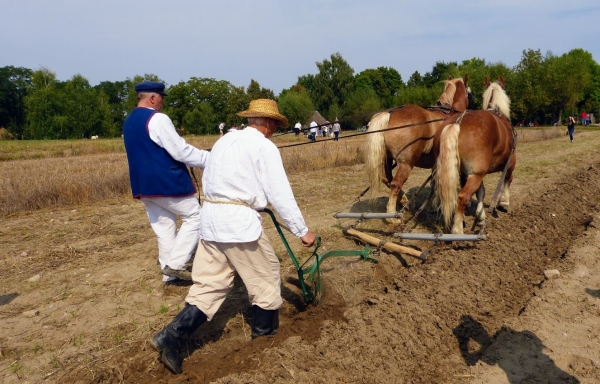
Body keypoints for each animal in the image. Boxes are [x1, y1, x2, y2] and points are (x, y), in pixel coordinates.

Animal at [364, 76, 472, 222]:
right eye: (469, 92)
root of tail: (390, 114)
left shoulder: (436, 163)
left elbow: (434, 183)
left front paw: (431, 206)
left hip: (387, 159)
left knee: (387, 179)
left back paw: (404, 200)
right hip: (406, 163)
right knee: (395, 183)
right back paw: (392, 216)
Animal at [432, 73, 516, 232]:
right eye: (469, 94)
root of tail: (457, 122)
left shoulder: (470, 172)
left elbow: (480, 191)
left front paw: (480, 216)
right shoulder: (510, 161)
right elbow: (508, 179)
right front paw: (504, 203)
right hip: (476, 173)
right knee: (463, 196)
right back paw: (457, 229)